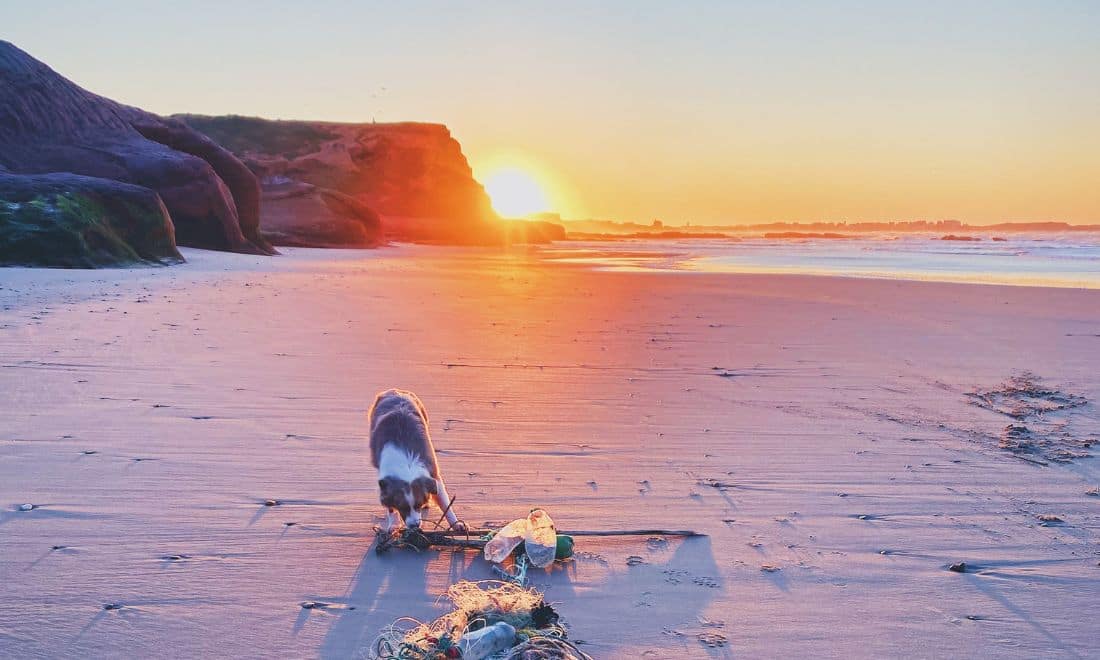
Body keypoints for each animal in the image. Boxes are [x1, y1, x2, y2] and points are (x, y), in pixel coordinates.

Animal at [365, 389, 459, 534]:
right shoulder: (385, 482)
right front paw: (394, 525)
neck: (406, 464)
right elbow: (390, 507)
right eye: (402, 507)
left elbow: (444, 502)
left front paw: (456, 524)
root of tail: (393, 391)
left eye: (418, 505)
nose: (415, 526)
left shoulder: (433, 473)